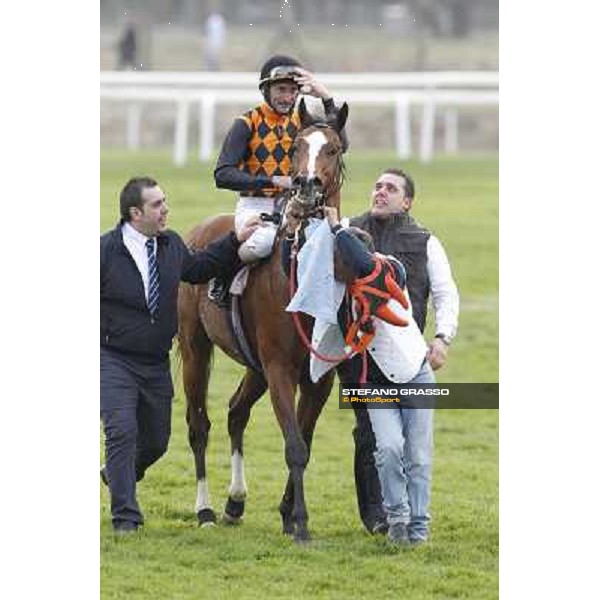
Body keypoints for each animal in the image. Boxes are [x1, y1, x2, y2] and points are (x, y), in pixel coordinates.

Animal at [176, 97, 350, 540]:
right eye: (297, 148)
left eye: (332, 149)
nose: (305, 186)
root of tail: (198, 231)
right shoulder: (279, 369)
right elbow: (294, 446)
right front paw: (300, 523)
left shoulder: (318, 377)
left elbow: (305, 440)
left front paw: (289, 515)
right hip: (195, 349)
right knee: (198, 425)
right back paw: (204, 510)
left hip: (253, 365)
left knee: (236, 411)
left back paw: (235, 502)